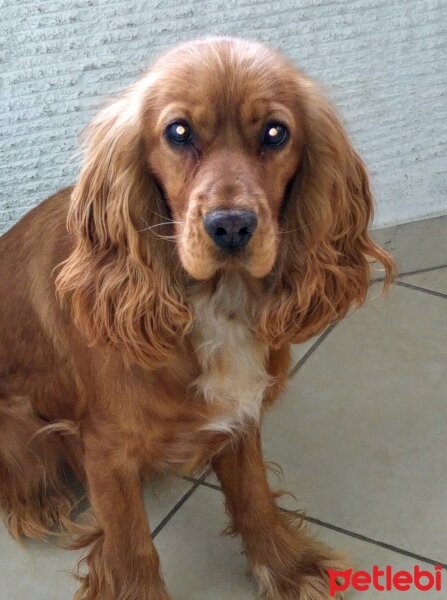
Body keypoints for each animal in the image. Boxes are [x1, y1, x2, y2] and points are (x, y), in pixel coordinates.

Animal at [0, 37, 392, 600]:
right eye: (178, 132)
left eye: (275, 132)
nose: (231, 226)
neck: (217, 302)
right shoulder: (107, 451)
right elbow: (131, 546)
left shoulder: (240, 414)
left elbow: (254, 495)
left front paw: (285, 568)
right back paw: (39, 498)